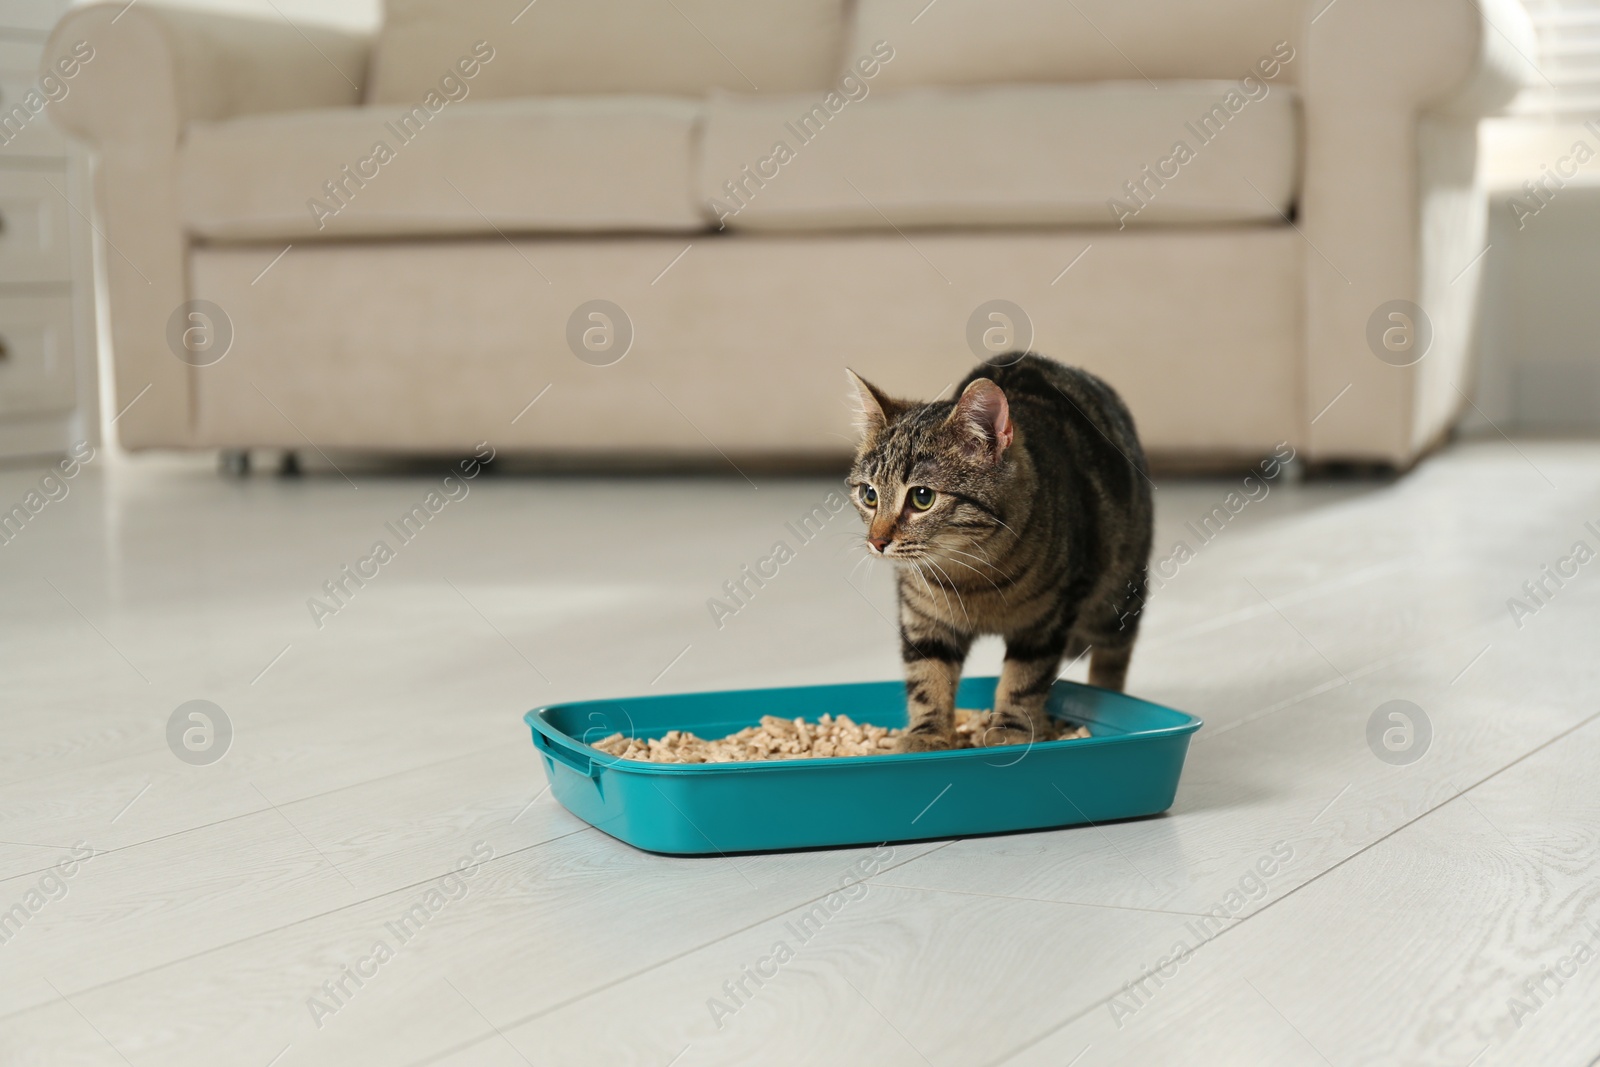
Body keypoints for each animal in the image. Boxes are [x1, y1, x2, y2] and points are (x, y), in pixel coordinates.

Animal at [844, 355, 1158, 755]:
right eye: (869, 494)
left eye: (922, 497)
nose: (877, 541)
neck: (972, 576)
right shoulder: (923, 618)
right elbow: (927, 678)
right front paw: (927, 735)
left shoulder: (1047, 621)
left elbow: (1024, 679)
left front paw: (1011, 730)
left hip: (1118, 594)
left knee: (1113, 657)